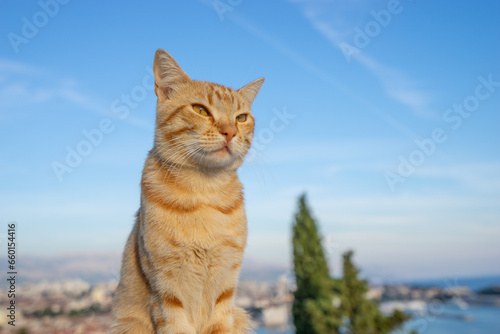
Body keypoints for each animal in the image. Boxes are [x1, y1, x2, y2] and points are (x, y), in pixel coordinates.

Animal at [110, 50, 266, 334]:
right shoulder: (166, 291)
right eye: (200, 110)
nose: (230, 132)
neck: (204, 192)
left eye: (241, 117)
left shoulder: (225, 290)